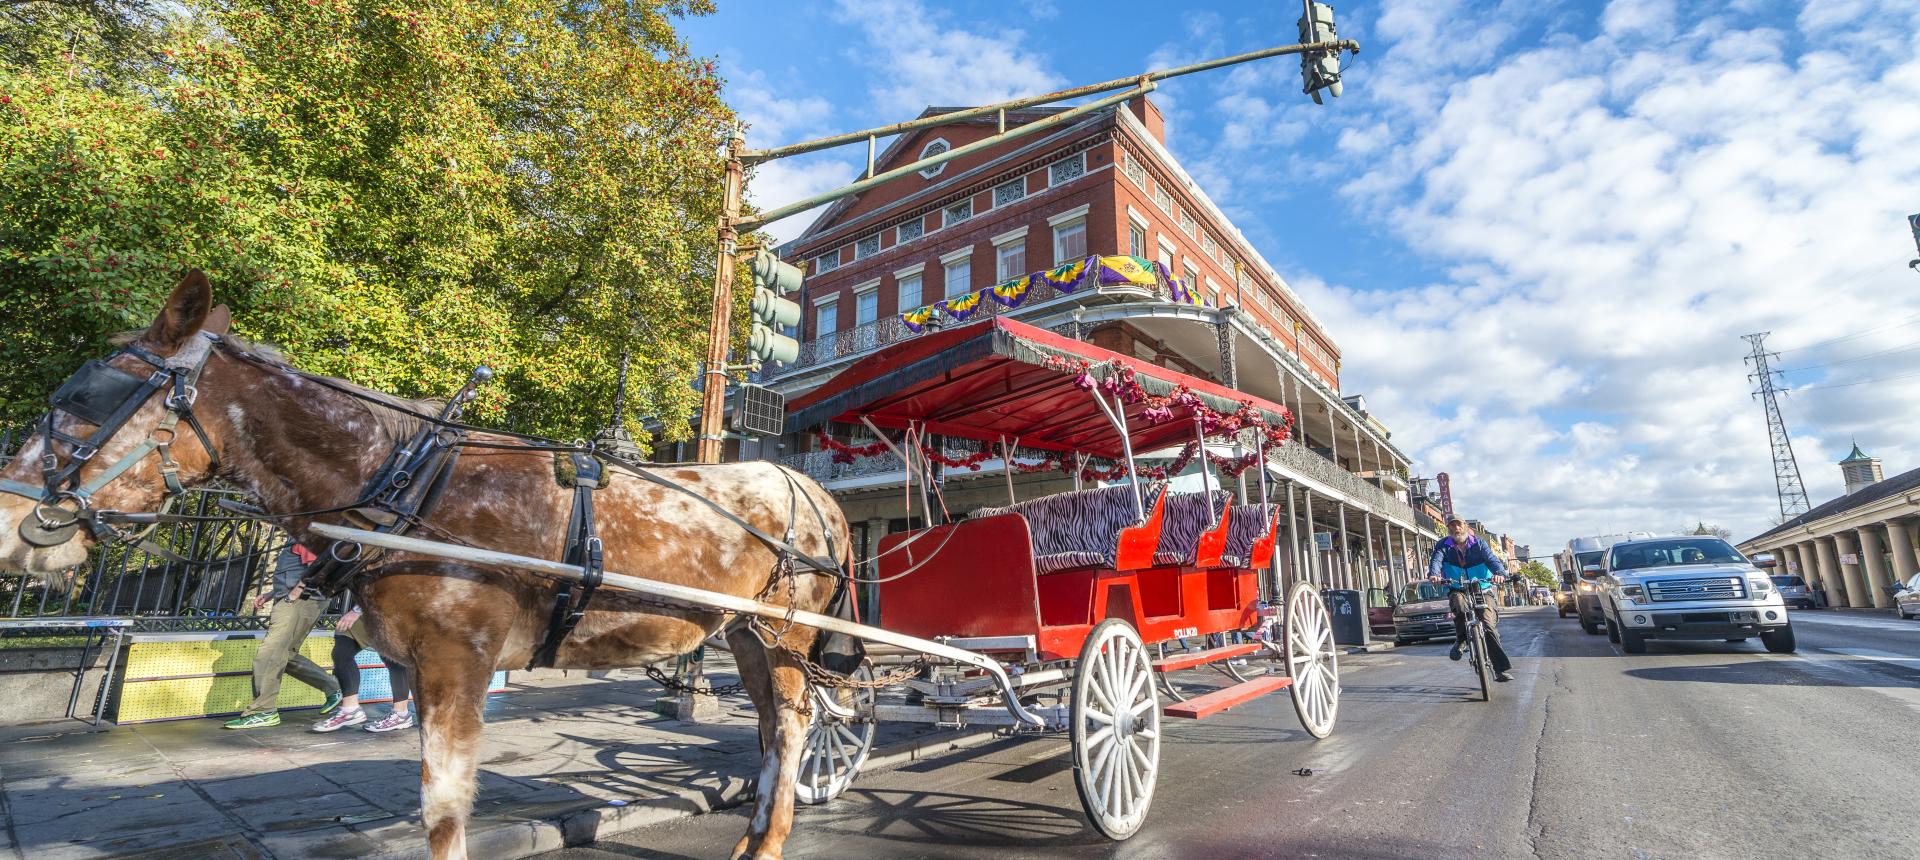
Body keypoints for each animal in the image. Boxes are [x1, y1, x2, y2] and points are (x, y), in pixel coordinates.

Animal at [0, 270, 848, 860]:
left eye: (84, 395)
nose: (10, 521)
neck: (402, 479)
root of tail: (813, 491)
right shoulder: (419, 658)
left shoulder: (457, 658)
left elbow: (442, 810)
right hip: (747, 632)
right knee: (772, 728)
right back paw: (755, 835)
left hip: (787, 632)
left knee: (795, 726)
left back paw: (771, 838)